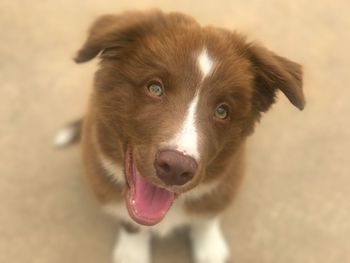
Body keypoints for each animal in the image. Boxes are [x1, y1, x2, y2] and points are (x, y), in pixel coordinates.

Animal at [54, 9, 304, 263]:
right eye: (155, 88)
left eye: (222, 111)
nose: (176, 167)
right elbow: (130, 223)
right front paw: (132, 252)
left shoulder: (225, 181)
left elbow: (206, 217)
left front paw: (209, 248)